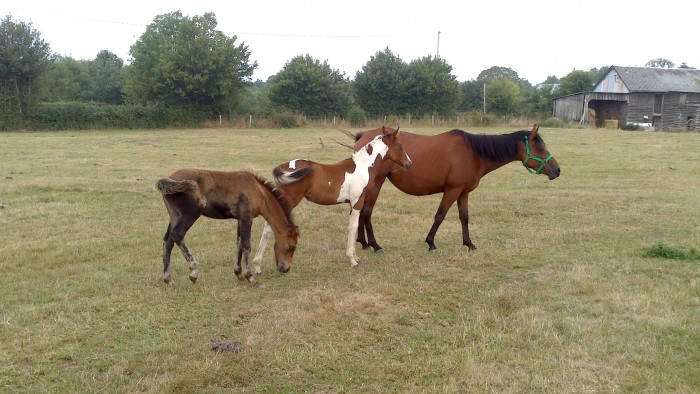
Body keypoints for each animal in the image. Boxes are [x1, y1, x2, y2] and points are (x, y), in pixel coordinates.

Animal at [156, 169, 298, 286]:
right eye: (291, 247)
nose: (286, 269)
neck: (259, 192)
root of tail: (169, 179)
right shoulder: (246, 218)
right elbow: (246, 245)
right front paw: (250, 277)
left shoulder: (240, 219)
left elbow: (239, 243)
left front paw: (238, 274)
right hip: (191, 213)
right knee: (177, 234)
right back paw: (194, 271)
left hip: (174, 216)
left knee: (167, 242)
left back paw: (169, 280)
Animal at [254, 127, 412, 270]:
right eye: (400, 146)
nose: (409, 164)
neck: (364, 166)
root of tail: (282, 166)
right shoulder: (357, 202)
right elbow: (353, 227)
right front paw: (353, 261)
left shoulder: (352, 204)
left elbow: (352, 227)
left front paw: (355, 257)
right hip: (288, 201)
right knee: (269, 228)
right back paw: (257, 266)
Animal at [352, 124, 560, 252]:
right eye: (540, 148)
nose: (557, 170)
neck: (474, 153)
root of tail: (363, 137)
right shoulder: (452, 190)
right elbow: (440, 216)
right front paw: (431, 243)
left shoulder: (463, 192)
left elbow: (464, 217)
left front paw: (469, 244)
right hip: (376, 183)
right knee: (367, 211)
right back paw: (375, 245)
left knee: (361, 211)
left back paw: (363, 243)